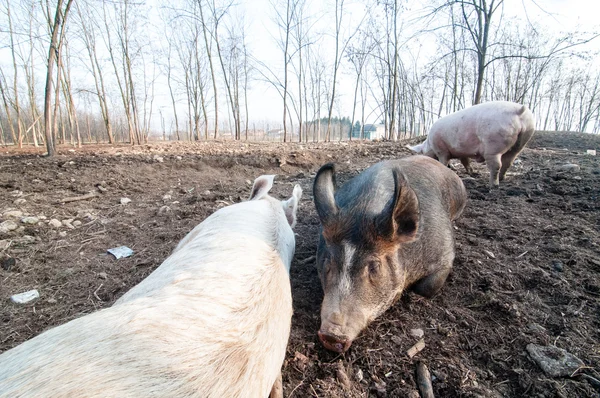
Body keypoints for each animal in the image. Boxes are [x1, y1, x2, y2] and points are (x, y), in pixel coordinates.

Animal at [312, 155, 466, 352]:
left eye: (375, 266)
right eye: (329, 260)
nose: (331, 336)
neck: (364, 209)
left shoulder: (445, 254)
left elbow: (428, 286)